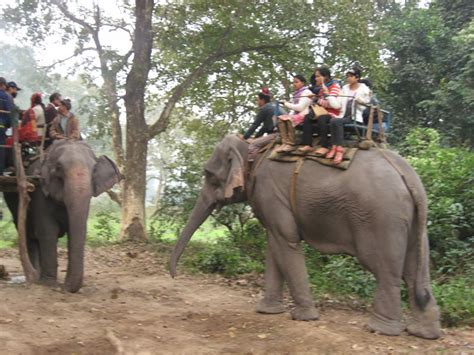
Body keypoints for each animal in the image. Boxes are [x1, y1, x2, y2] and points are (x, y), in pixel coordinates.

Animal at [3, 140, 121, 294]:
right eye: (58, 168)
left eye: (94, 169)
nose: (64, 288)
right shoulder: (40, 191)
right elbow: (47, 232)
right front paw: (49, 284)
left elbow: (73, 231)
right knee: (29, 236)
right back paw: (35, 276)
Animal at [172, 135, 442, 340]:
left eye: (208, 175)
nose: (174, 276)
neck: (254, 148)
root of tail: (409, 177)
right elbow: (274, 244)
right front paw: (268, 312)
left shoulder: (269, 191)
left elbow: (285, 240)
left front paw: (303, 317)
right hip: (412, 219)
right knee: (415, 271)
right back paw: (423, 333)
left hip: (380, 216)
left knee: (384, 269)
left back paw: (381, 329)